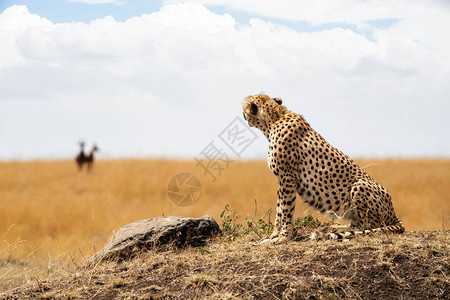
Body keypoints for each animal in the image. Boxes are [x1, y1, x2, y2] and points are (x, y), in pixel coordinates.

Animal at [243, 94, 404, 244]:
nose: (243, 112)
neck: (273, 120)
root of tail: (394, 214)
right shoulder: (282, 179)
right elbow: (279, 209)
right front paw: (274, 234)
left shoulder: (287, 177)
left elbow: (286, 210)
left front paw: (283, 237)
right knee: (357, 224)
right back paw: (335, 227)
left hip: (359, 186)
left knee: (369, 226)